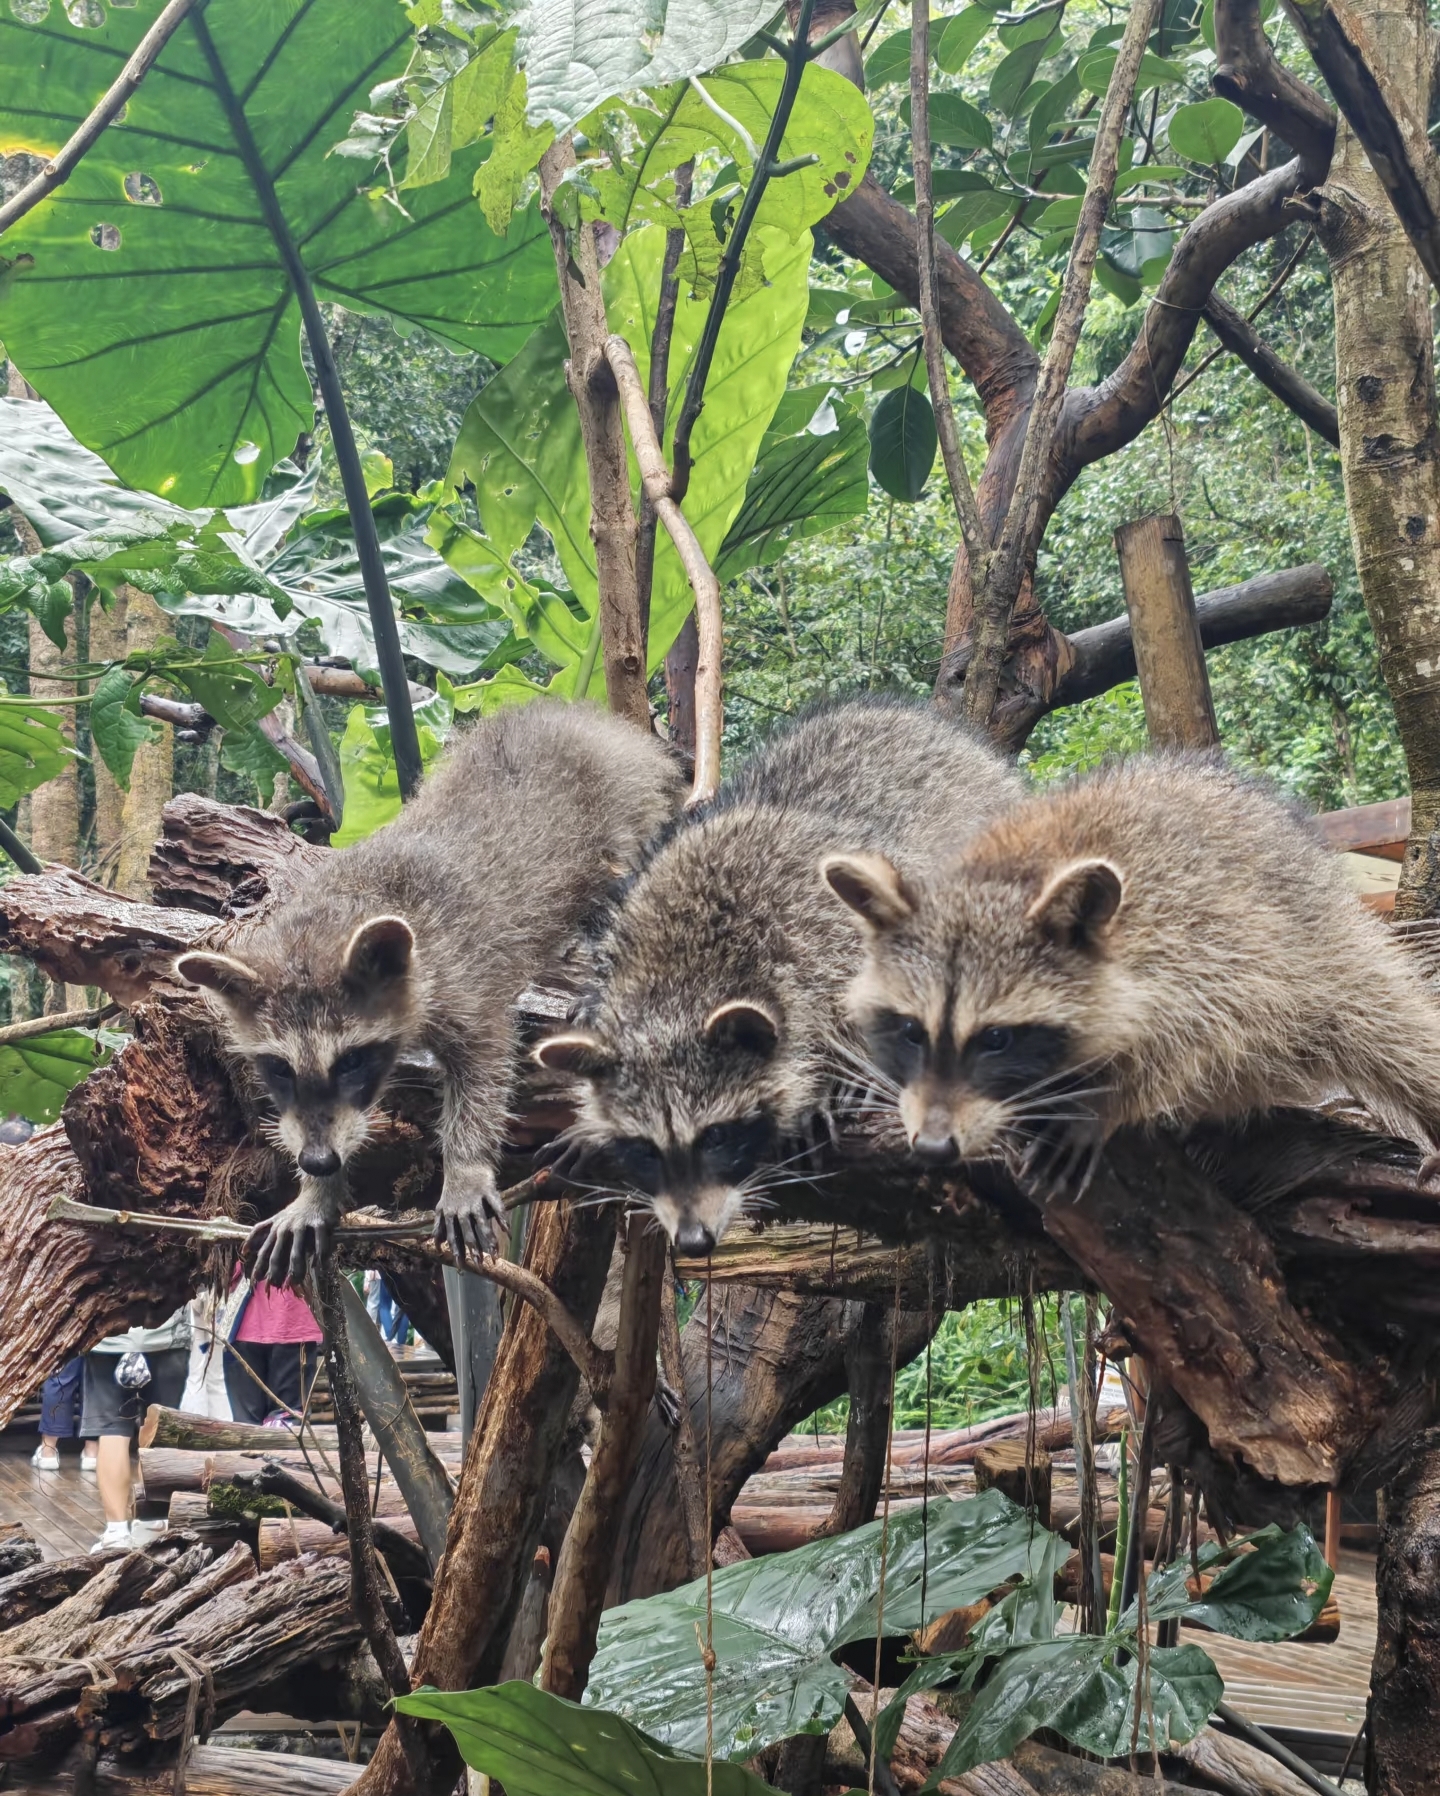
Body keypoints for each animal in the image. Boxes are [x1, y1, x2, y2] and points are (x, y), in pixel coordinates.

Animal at [176, 702, 683, 1284]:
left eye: (351, 1061)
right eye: (279, 1068)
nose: (317, 1162)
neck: (334, 917)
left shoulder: (463, 978)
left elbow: (485, 1064)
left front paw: (463, 1168)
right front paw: (317, 1193)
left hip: (631, 816)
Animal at [533, 697, 1023, 1253]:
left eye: (717, 1136)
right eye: (645, 1150)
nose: (694, 1241)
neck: (680, 980)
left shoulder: (830, 938)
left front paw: (838, 1076)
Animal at [823, 752, 1440, 1200]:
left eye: (996, 1039)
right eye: (910, 1031)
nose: (932, 1147)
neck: (1003, 876)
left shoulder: (1207, 948)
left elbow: (1197, 1037)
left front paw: (1104, 1102)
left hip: (1317, 937)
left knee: (1387, 1026)